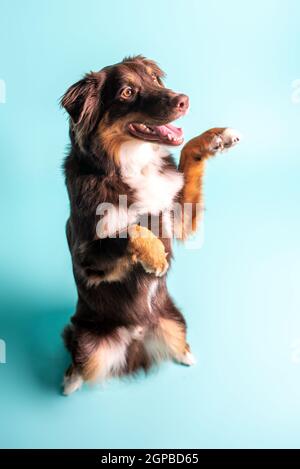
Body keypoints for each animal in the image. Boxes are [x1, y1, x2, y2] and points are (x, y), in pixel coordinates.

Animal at [61, 54, 241, 394]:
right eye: (127, 92)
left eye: (154, 79)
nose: (184, 100)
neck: (131, 163)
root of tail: (136, 335)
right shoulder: (87, 257)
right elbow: (129, 230)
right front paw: (155, 257)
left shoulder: (178, 217)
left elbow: (187, 154)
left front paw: (215, 137)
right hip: (89, 343)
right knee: (80, 359)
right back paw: (69, 380)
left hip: (175, 320)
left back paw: (186, 354)